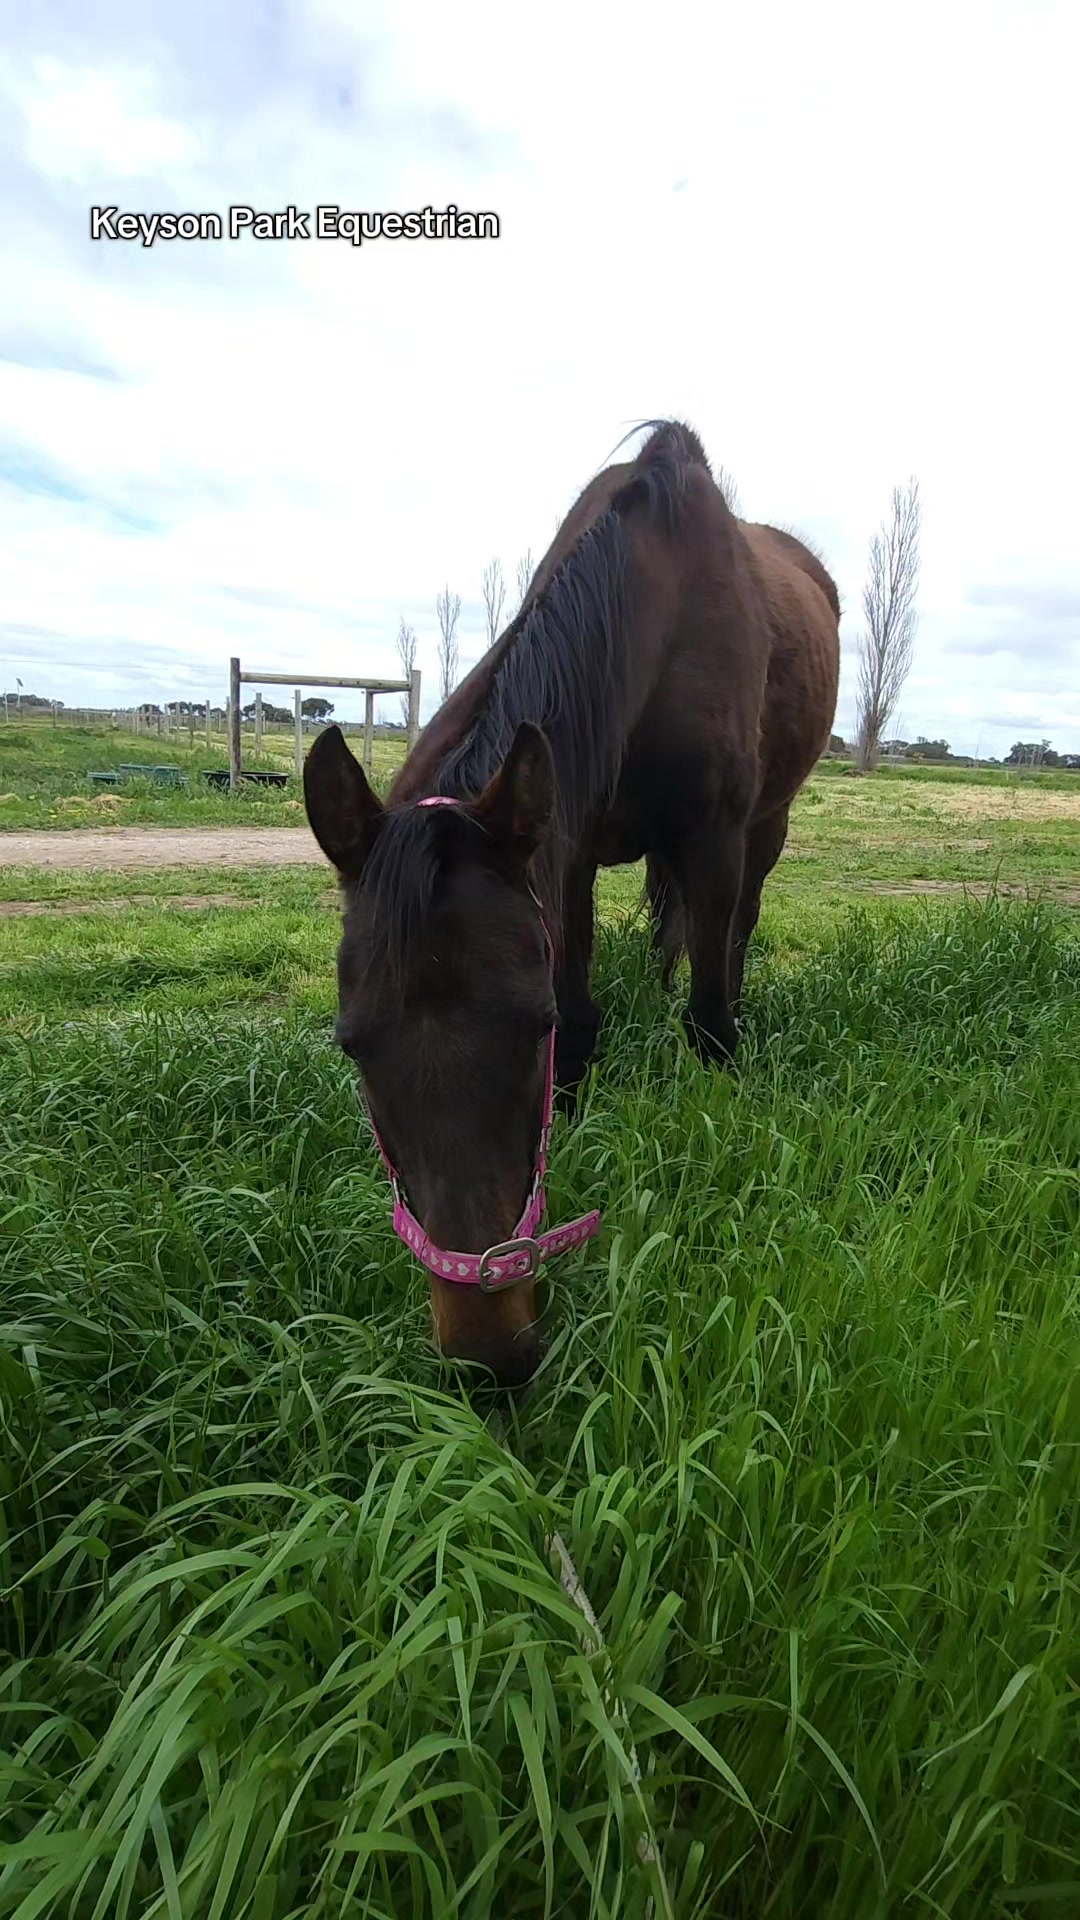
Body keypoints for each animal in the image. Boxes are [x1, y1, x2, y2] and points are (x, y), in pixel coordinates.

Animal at [304, 420, 840, 1388]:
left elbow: (706, 1007)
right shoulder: (573, 847)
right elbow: (593, 1009)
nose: (487, 1355)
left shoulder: (716, 834)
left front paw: (720, 1091)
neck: (658, 617)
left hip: (767, 825)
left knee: (734, 932)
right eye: (352, 1045)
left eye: (531, 1026)